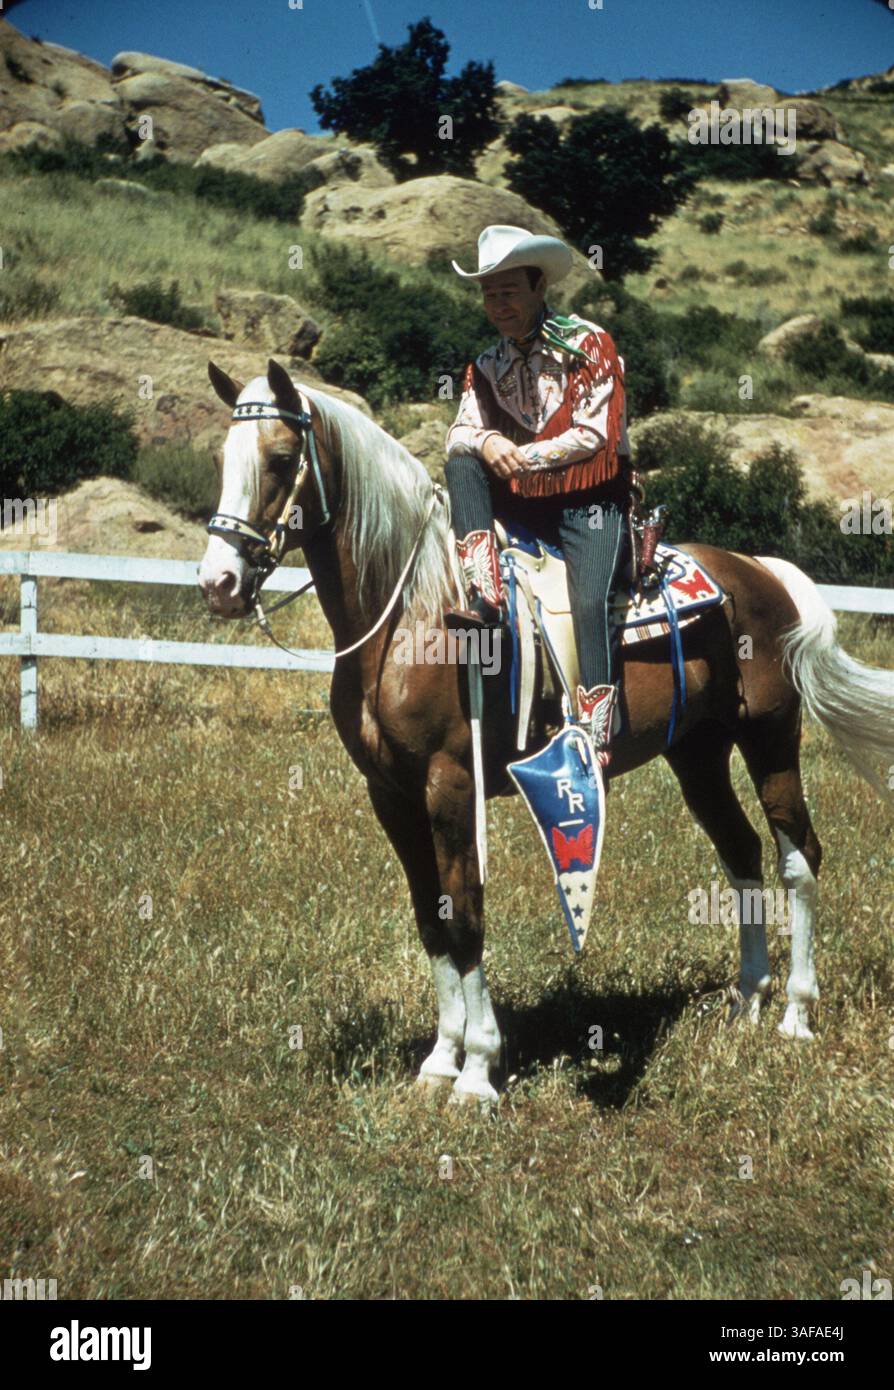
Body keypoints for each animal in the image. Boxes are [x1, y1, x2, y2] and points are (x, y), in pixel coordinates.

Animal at [198, 358, 894, 1105]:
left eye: (279, 459)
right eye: (222, 459)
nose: (219, 582)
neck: (415, 615)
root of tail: (763, 571)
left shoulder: (449, 785)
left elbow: (465, 915)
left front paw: (477, 1071)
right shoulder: (390, 794)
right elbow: (430, 918)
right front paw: (438, 1061)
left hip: (769, 739)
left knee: (799, 857)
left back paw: (795, 1012)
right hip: (697, 755)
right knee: (741, 853)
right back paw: (748, 1001)